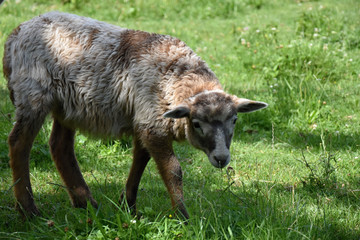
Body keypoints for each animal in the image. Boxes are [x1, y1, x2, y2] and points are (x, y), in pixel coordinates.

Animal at [2, 11, 268, 219]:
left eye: (234, 120)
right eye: (197, 124)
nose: (222, 158)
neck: (176, 77)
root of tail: (17, 32)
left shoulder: (144, 119)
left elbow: (140, 161)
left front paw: (128, 206)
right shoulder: (151, 121)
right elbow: (173, 170)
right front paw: (182, 216)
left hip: (67, 105)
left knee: (60, 146)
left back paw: (86, 204)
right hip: (33, 94)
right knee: (19, 143)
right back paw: (28, 209)